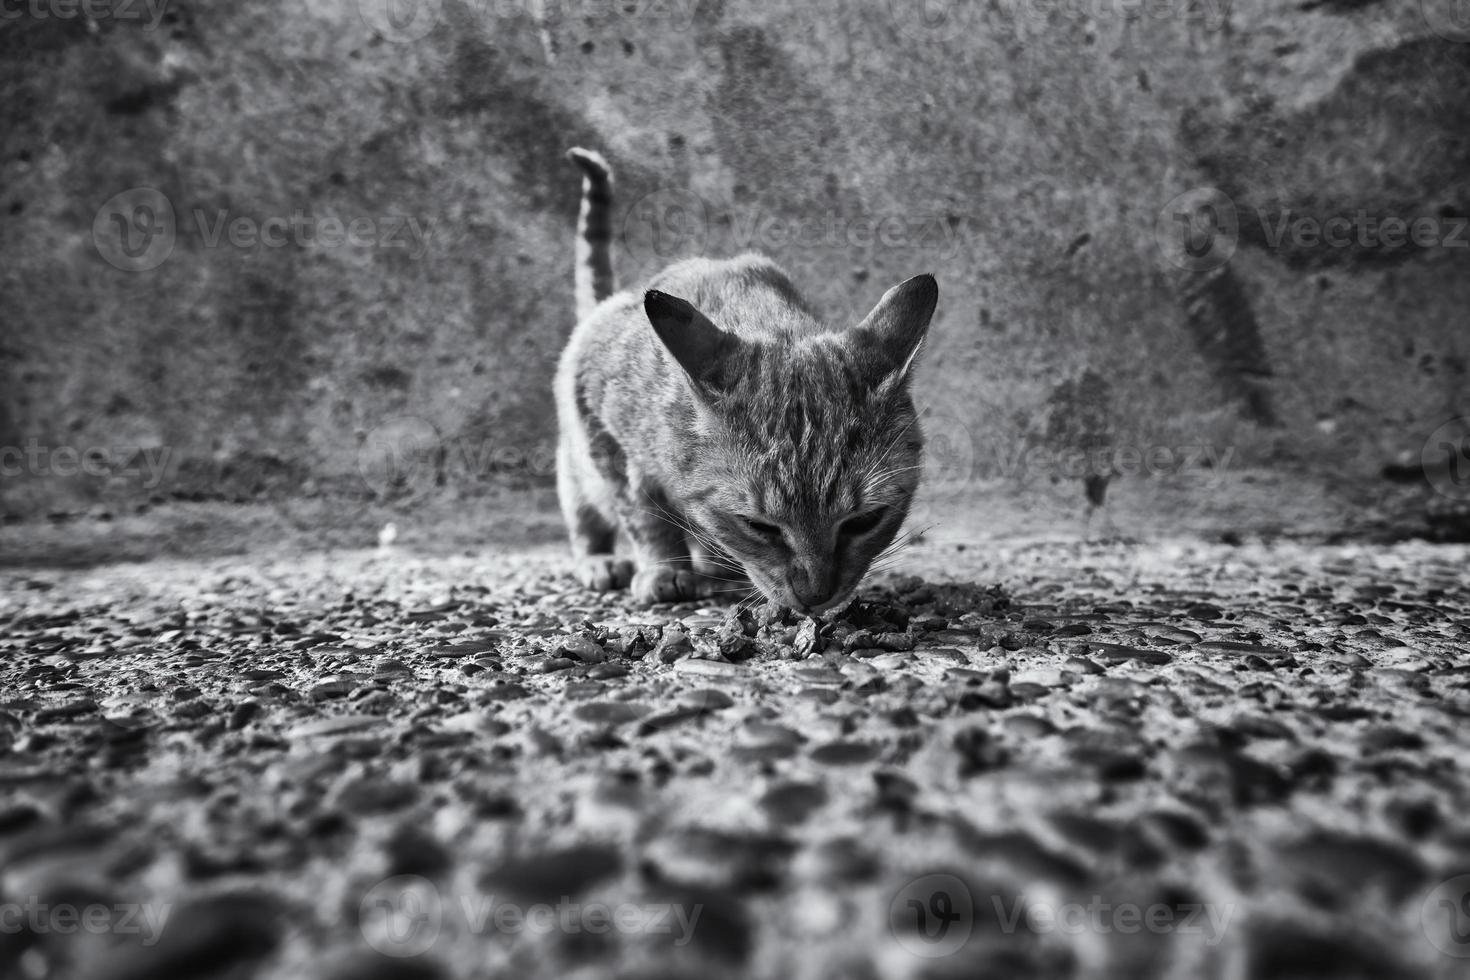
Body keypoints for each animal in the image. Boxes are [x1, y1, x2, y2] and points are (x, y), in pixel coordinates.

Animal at [555, 146, 934, 614]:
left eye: (864, 521)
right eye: (758, 526)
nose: (816, 596)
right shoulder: (604, 424)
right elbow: (644, 515)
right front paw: (663, 567)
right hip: (577, 465)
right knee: (586, 516)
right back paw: (600, 560)